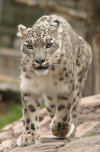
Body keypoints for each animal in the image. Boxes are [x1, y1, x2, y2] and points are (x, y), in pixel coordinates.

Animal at [16, 14, 92, 146]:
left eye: (49, 44)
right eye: (29, 46)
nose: (40, 60)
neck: (46, 76)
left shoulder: (67, 87)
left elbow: (64, 112)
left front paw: (60, 130)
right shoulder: (29, 87)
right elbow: (30, 112)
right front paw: (30, 136)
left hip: (78, 85)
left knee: (74, 110)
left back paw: (70, 130)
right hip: (50, 101)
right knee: (53, 109)